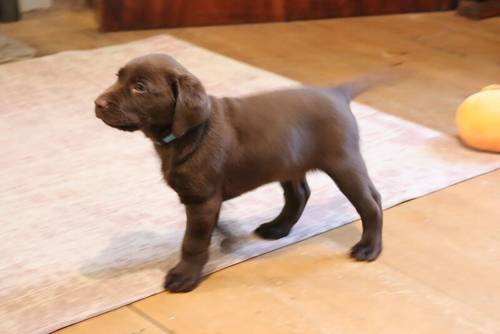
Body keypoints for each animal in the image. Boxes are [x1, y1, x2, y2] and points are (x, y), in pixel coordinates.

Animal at [96, 53, 386, 290]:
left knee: (370, 203)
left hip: (343, 163)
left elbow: (193, 241)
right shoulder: (206, 200)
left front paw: (185, 275)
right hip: (288, 161)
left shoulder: (201, 201)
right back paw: (278, 228)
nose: (97, 103)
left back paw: (369, 247)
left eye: (140, 87)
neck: (188, 133)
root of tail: (336, 93)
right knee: (300, 195)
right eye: (117, 78)